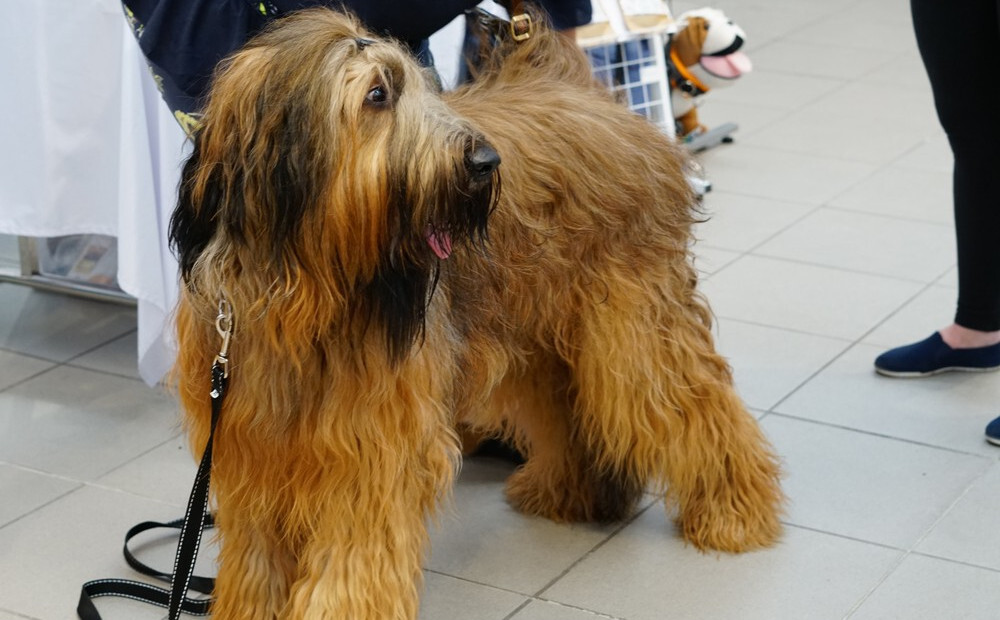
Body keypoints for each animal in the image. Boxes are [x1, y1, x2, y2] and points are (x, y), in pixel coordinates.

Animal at [170, 6, 780, 620]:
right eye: (377, 95)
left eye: (420, 86)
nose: (485, 162)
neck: (307, 291)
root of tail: (577, 88)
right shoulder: (250, 444)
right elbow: (257, 556)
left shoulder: (370, 450)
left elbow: (353, 555)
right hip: (541, 334)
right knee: (571, 406)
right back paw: (579, 494)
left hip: (633, 327)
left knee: (696, 405)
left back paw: (734, 513)